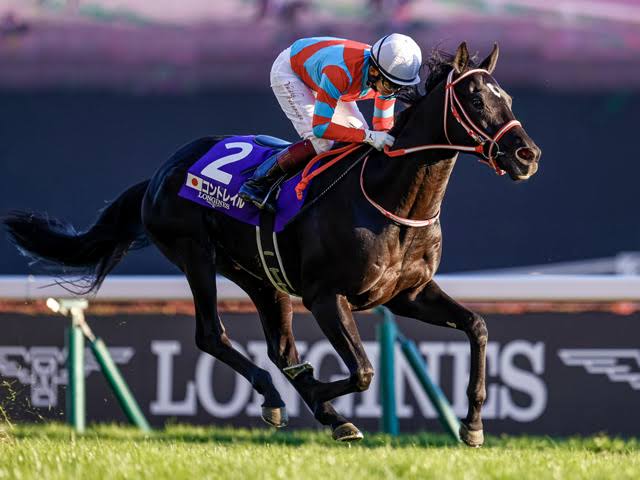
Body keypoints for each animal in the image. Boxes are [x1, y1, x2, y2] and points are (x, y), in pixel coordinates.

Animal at [4, 42, 540, 446]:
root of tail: (160, 173)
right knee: (212, 335)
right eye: (475, 100)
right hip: (195, 256)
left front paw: (472, 424)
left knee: (280, 349)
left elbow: (476, 327)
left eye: (509, 97)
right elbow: (364, 372)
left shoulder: (407, 294)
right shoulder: (326, 297)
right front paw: (322, 394)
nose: (527, 155)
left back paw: (316, 410)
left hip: (262, 277)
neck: (392, 200)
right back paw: (285, 398)